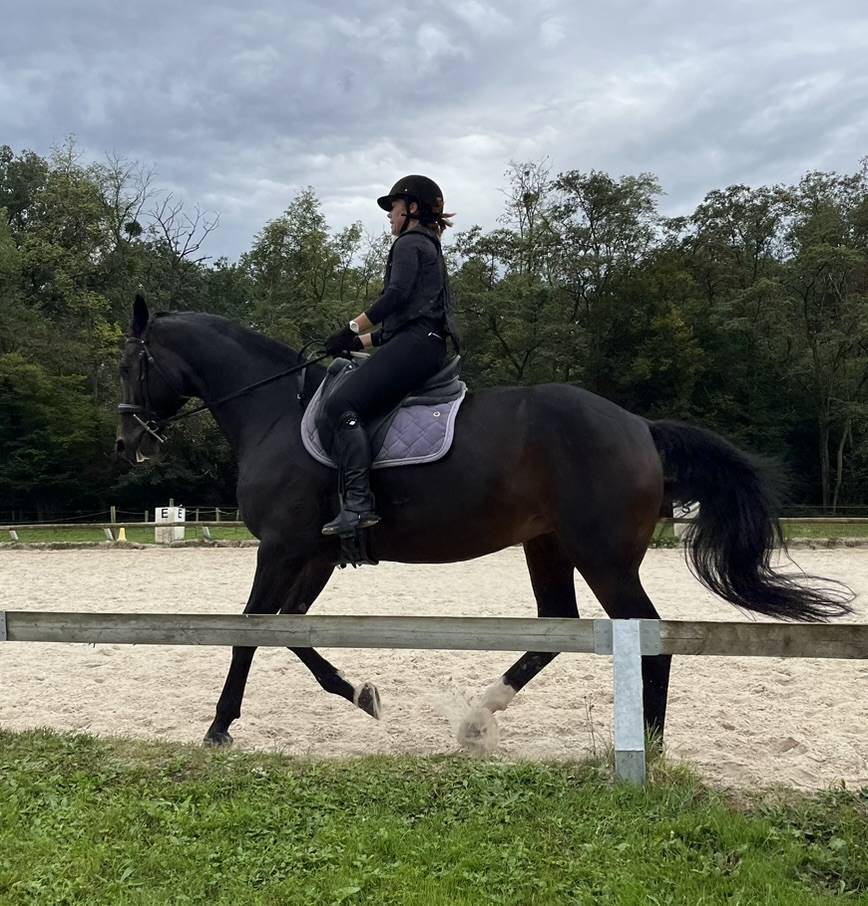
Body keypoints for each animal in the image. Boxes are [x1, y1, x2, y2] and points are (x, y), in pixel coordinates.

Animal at [115, 295, 853, 750]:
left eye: (130, 365)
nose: (128, 444)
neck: (274, 410)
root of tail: (639, 426)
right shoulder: (314, 552)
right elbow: (290, 630)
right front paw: (360, 693)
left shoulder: (280, 547)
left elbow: (248, 632)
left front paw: (218, 728)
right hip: (549, 545)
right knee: (556, 628)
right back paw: (478, 716)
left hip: (602, 556)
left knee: (649, 635)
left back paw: (648, 744)